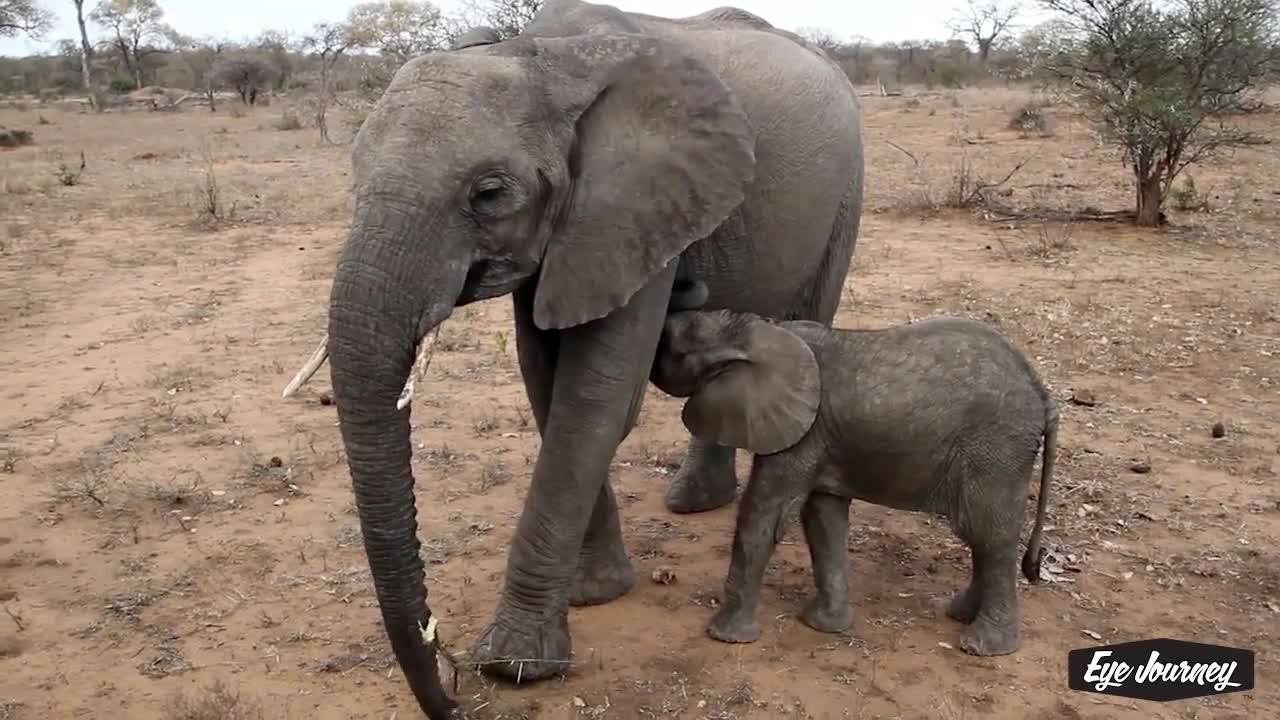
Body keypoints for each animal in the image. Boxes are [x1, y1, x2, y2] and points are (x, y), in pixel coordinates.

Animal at [286, 2, 865, 712]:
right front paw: (594, 593)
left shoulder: (635, 205)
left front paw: (515, 664)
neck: (541, 55)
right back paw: (693, 503)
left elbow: (593, 398)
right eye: (355, 174)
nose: (451, 690)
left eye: (489, 194)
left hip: (845, 193)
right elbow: (545, 380)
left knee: (809, 318)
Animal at [650, 308, 1059, 655]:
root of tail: (1043, 392)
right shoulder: (819, 439)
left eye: (672, 344)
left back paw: (982, 646)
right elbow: (823, 519)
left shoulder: (800, 433)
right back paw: (959, 614)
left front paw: (725, 637)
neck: (759, 329)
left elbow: (763, 517)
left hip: (997, 448)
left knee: (989, 534)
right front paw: (823, 625)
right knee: (981, 536)